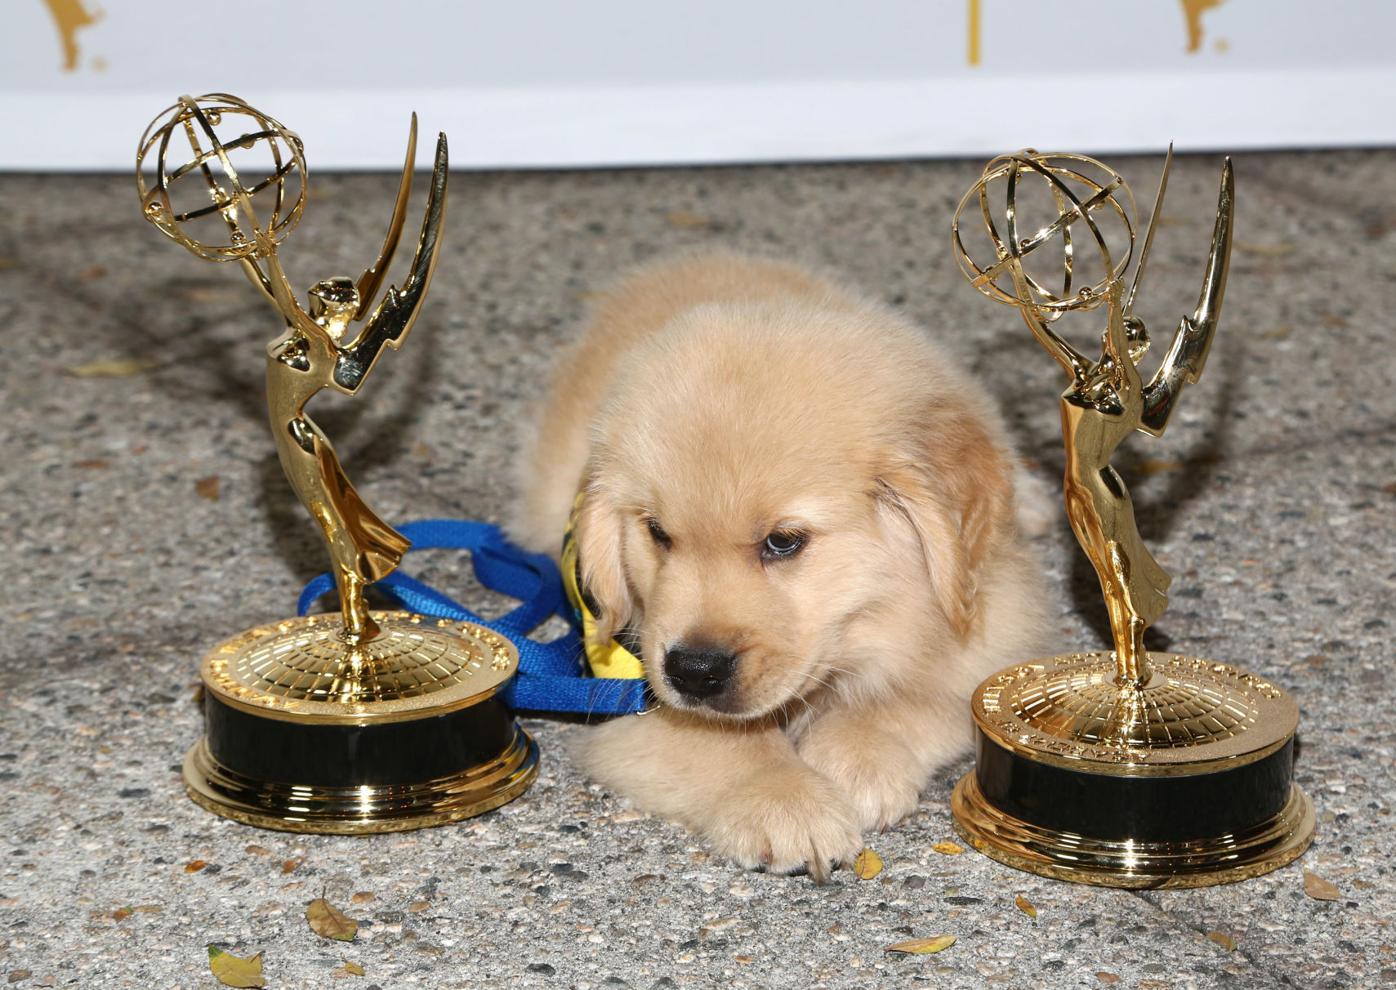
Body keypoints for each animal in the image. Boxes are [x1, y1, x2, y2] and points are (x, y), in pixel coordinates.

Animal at [513, 251, 1049, 876]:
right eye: (657, 533)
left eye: (782, 542)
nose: (693, 671)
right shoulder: (625, 686)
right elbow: (720, 741)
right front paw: (786, 801)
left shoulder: (991, 621)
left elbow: (923, 693)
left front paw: (858, 753)